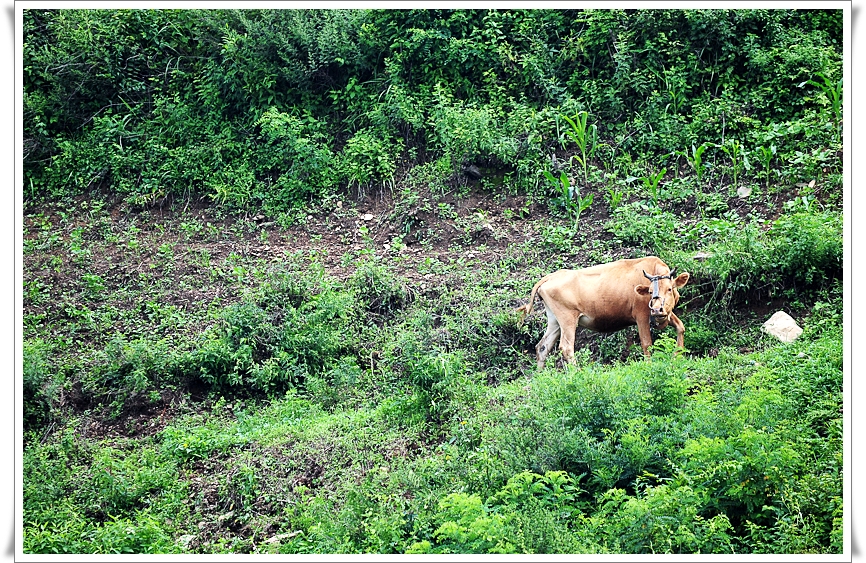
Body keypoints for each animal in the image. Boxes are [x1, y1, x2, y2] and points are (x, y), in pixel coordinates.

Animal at [512, 256, 688, 370]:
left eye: (669, 289)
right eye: (650, 291)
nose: (657, 309)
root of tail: (549, 277)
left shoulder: (665, 313)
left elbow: (681, 326)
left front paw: (677, 356)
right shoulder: (641, 316)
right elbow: (647, 343)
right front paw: (649, 366)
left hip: (554, 320)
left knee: (542, 347)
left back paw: (540, 375)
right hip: (567, 318)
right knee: (566, 347)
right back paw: (578, 373)